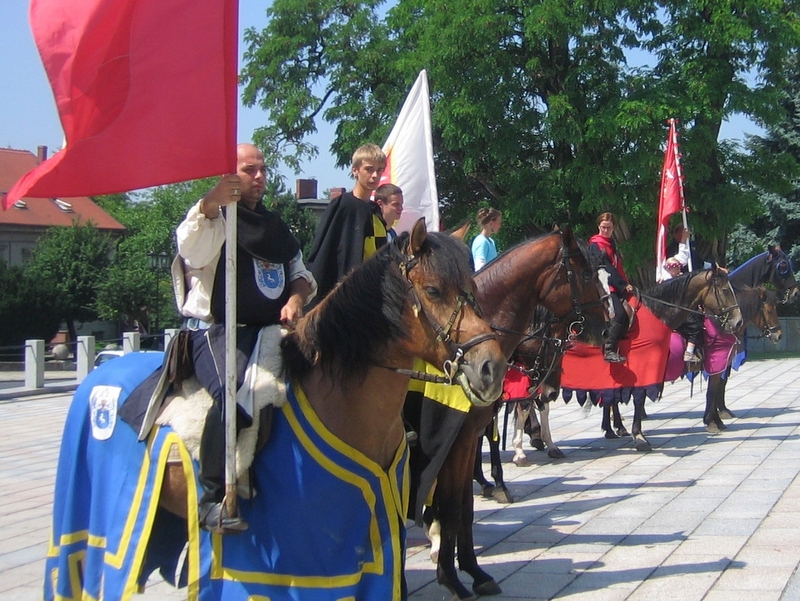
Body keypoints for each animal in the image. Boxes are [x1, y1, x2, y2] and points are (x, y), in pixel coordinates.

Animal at [406, 229, 608, 600]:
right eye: (586, 274)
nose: (604, 329)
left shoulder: (466, 437)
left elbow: (464, 508)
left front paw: (473, 571)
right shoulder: (453, 440)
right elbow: (451, 505)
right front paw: (451, 575)